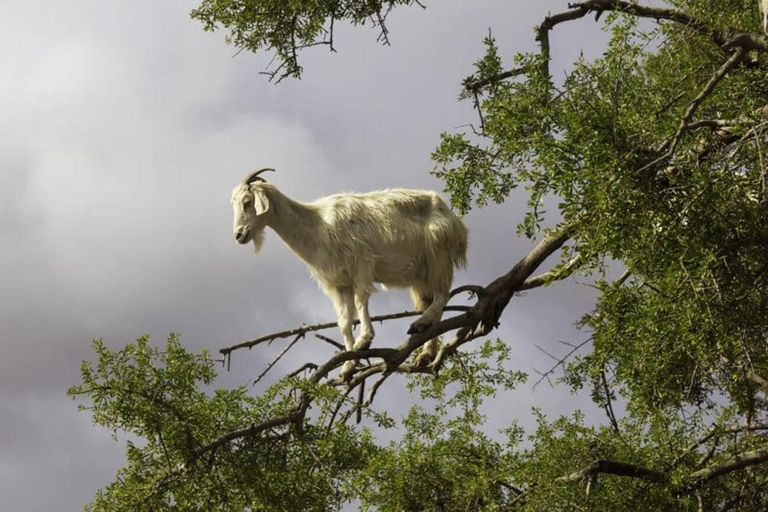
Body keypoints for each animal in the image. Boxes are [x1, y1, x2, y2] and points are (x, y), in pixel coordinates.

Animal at [230, 169, 468, 380]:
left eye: (247, 202)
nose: (239, 235)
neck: (317, 224)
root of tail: (457, 223)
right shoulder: (339, 283)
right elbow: (344, 322)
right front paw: (348, 366)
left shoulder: (361, 264)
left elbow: (361, 301)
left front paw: (364, 340)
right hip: (420, 276)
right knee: (430, 302)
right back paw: (426, 352)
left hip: (438, 255)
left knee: (442, 295)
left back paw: (420, 325)